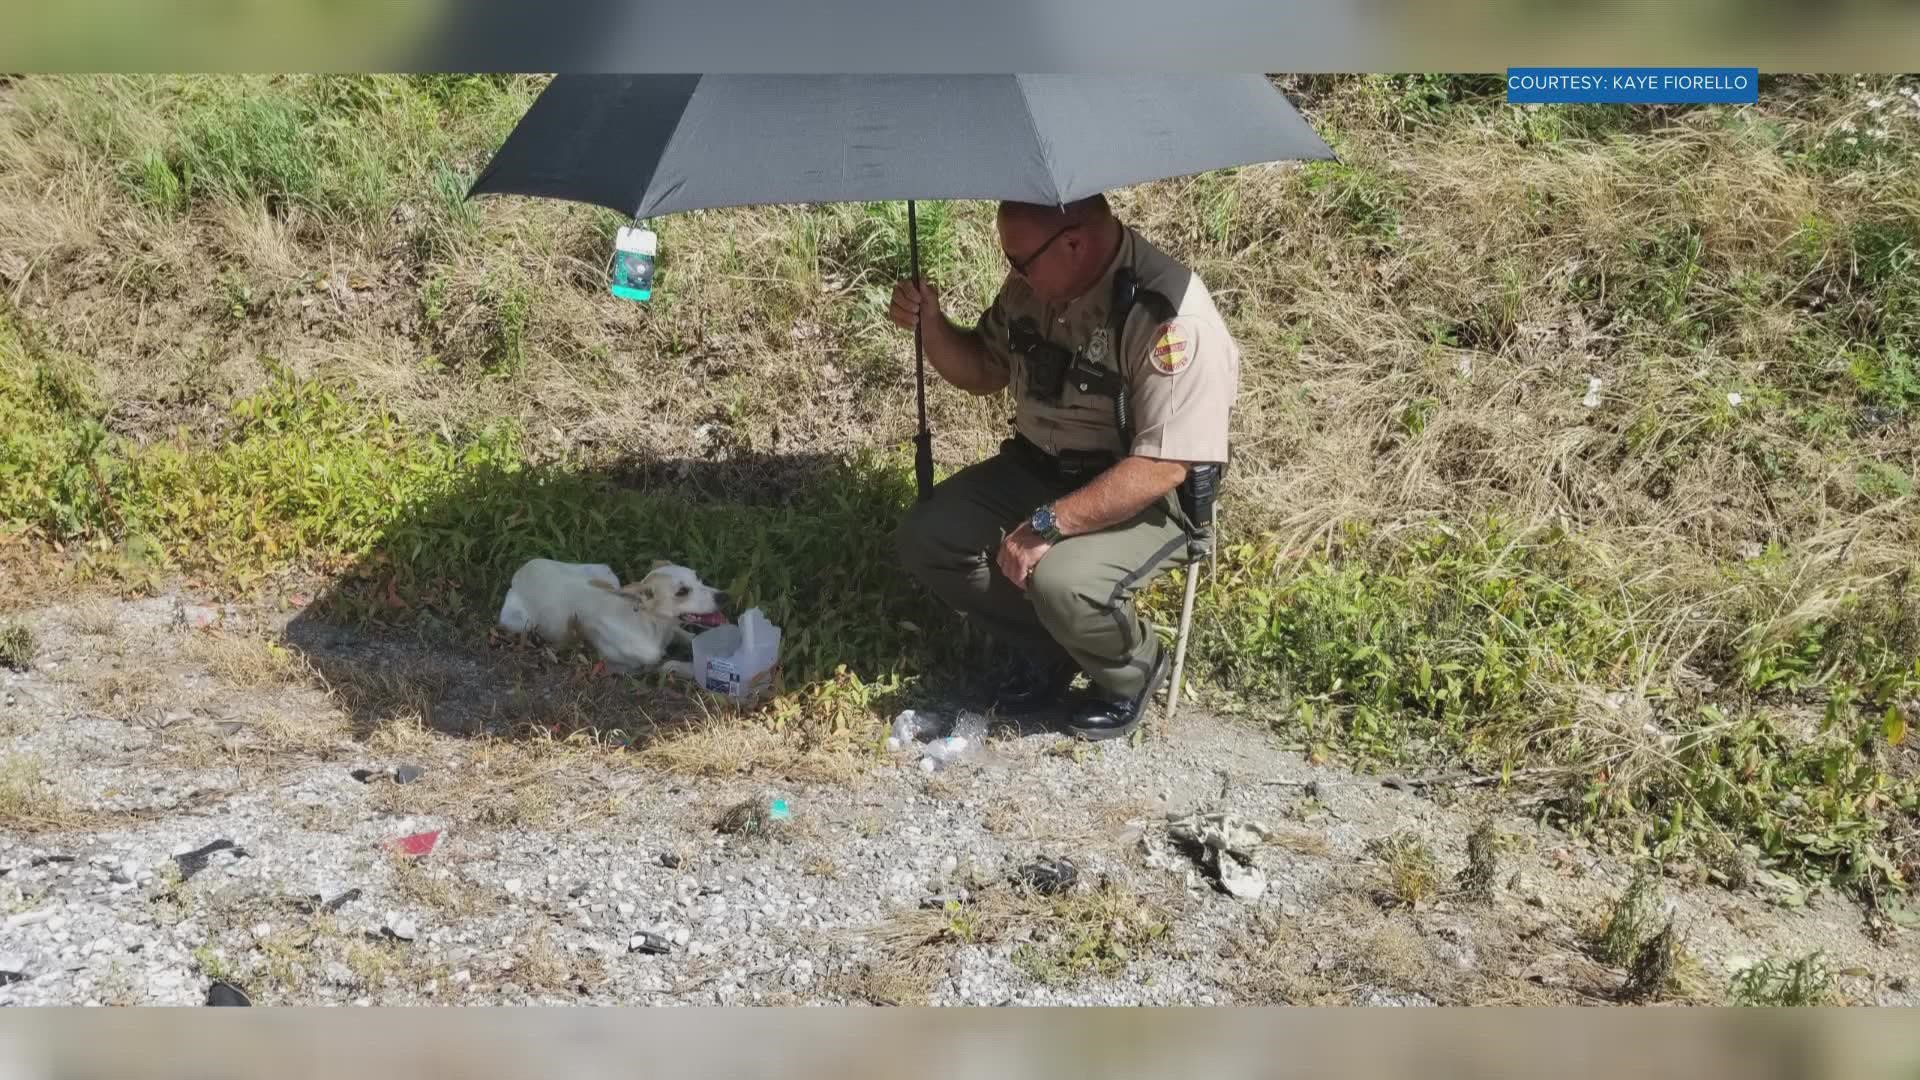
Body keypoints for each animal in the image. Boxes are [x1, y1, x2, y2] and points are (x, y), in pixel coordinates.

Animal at [495, 553, 725, 672]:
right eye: (682, 592)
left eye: (698, 577)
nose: (723, 596)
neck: (649, 624)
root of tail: (522, 571)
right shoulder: (623, 666)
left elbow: (691, 637)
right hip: (518, 623)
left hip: (605, 573)